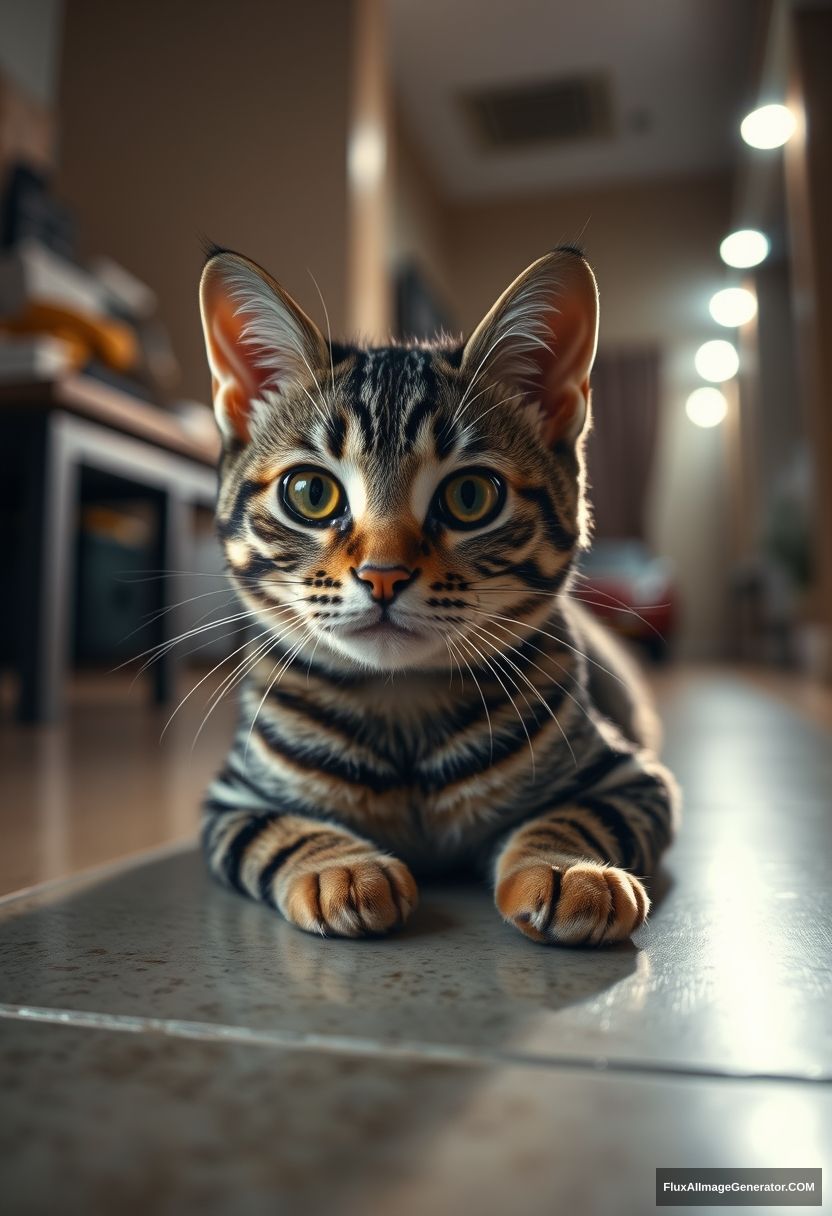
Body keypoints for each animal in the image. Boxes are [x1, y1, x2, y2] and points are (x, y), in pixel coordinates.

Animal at [198, 246, 681, 943]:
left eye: (470, 496)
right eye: (311, 493)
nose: (383, 574)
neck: (404, 705)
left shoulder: (631, 778)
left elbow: (580, 816)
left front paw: (568, 869)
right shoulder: (234, 799)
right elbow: (279, 832)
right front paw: (338, 866)